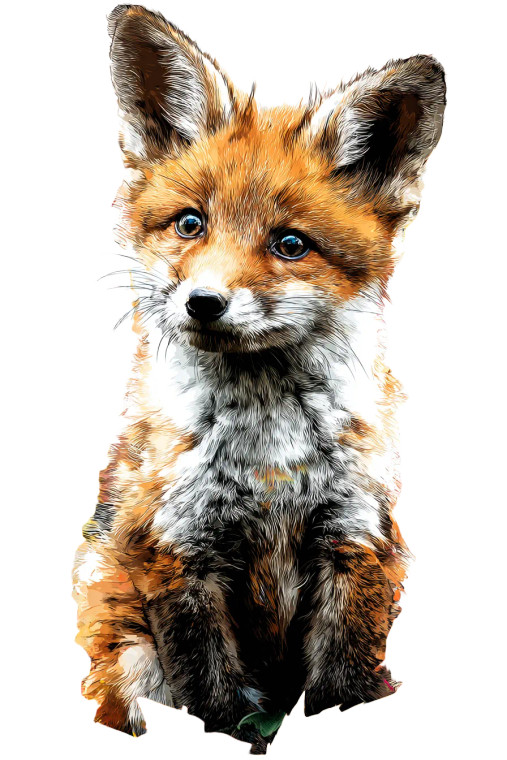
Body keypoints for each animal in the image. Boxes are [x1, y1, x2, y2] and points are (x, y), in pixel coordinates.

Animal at [72, 4, 446, 754]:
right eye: (190, 224)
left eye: (290, 244)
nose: (203, 303)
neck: (270, 462)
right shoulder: (180, 551)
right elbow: (212, 699)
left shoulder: (354, 540)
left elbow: (343, 691)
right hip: (127, 655)